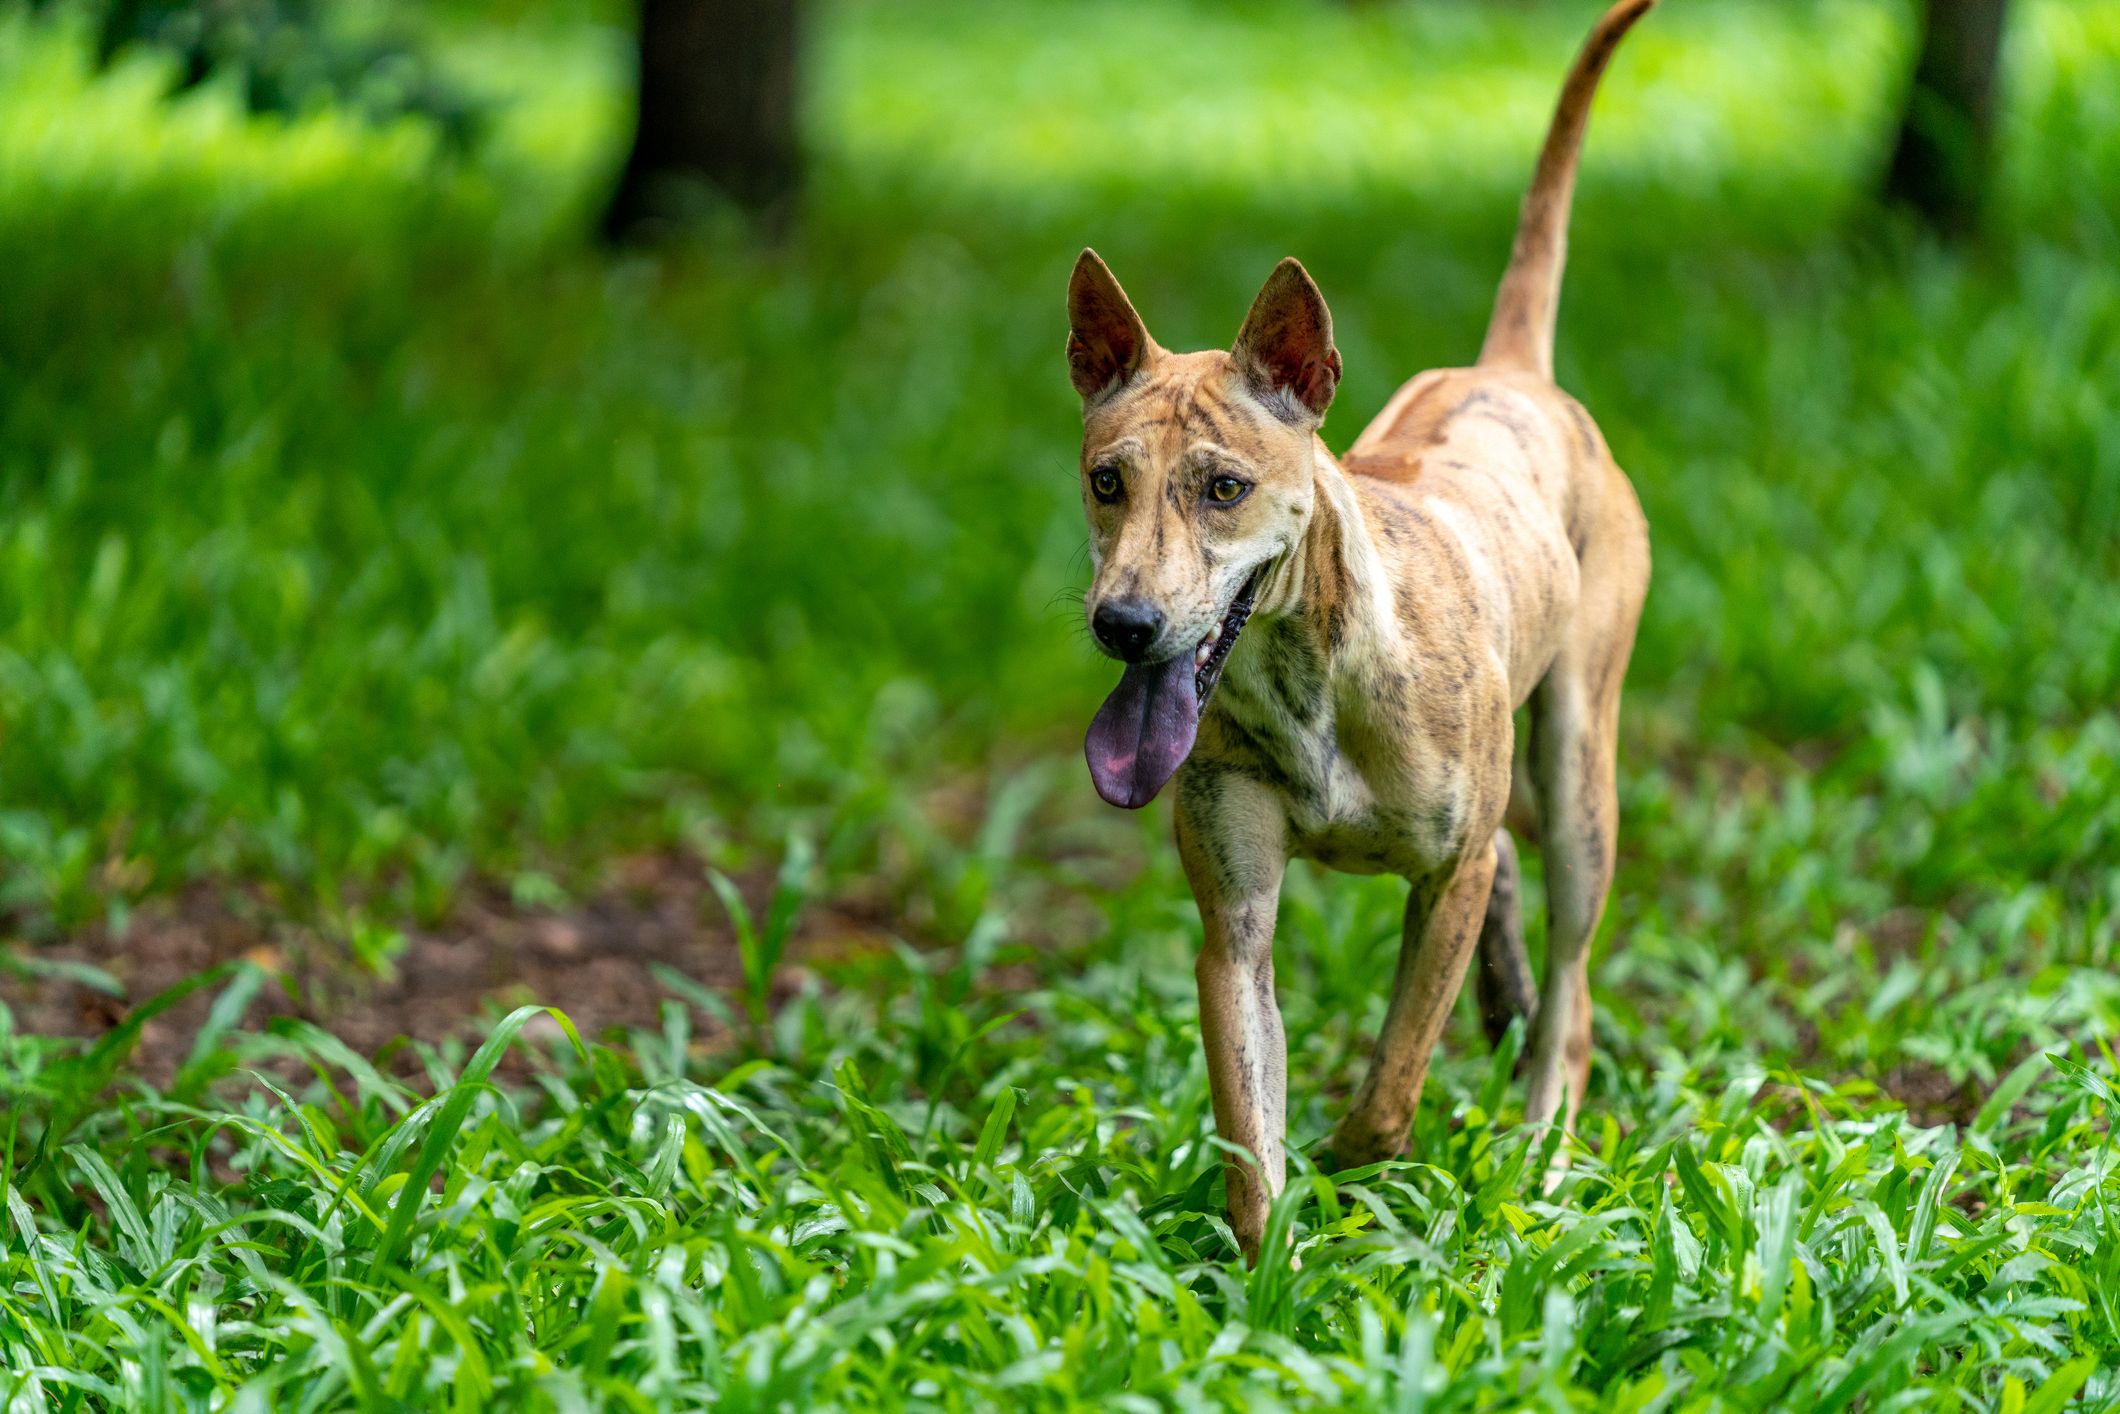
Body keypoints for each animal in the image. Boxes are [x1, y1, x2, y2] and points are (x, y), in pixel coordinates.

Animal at [1068, 0, 1645, 1263]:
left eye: (1222, 488)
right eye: (1103, 481)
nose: (1122, 624)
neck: (1304, 679)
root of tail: (1509, 369)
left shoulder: (1448, 872)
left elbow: (1387, 1089)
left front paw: (1345, 1162)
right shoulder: (1233, 918)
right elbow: (1250, 1123)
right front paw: (1265, 1271)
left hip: (1580, 761)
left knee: (1571, 986)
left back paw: (1540, 1141)